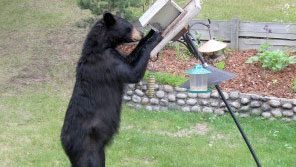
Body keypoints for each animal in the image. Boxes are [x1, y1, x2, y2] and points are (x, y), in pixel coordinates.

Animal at [60, 12, 162, 167]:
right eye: (129, 27)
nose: (141, 33)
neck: (100, 46)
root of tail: (66, 147)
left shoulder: (115, 56)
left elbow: (129, 59)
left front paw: (150, 34)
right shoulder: (107, 63)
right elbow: (132, 73)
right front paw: (155, 38)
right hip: (88, 149)